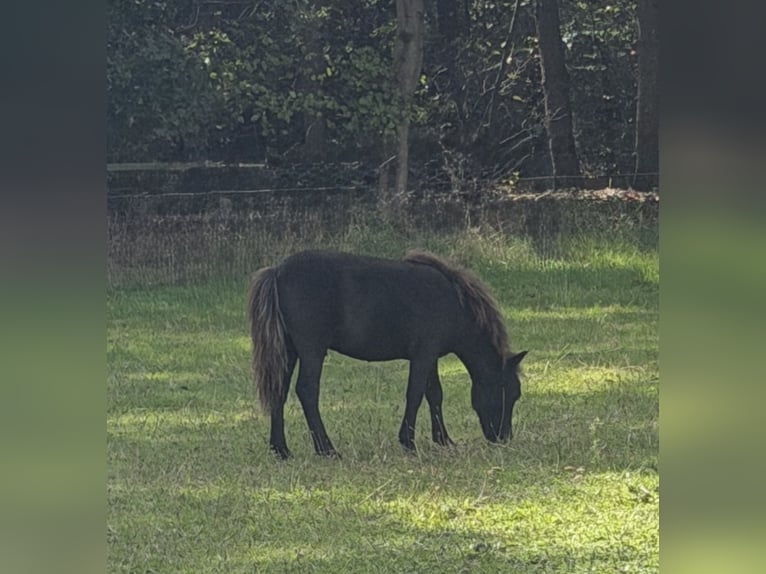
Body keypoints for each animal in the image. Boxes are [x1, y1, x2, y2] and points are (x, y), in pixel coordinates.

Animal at [247, 249, 527, 459]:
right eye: (506, 391)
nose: (503, 438)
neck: (453, 302)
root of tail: (277, 271)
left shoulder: (431, 357)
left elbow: (434, 395)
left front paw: (443, 440)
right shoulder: (423, 356)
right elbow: (415, 395)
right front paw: (409, 442)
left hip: (289, 351)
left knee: (279, 391)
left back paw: (281, 450)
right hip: (312, 352)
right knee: (306, 391)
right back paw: (327, 449)